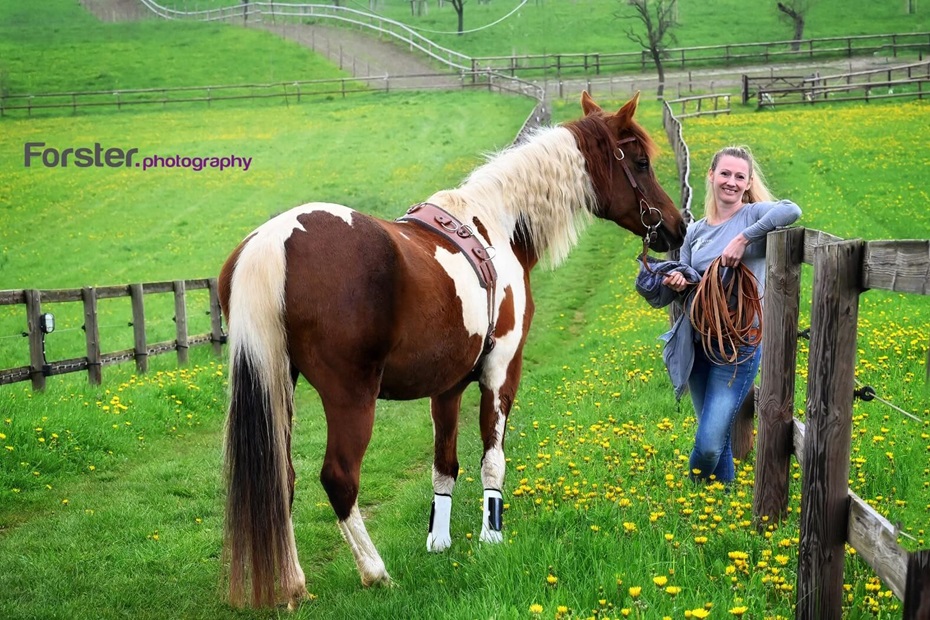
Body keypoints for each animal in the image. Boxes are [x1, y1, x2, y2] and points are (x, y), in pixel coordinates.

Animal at [216, 94, 680, 608]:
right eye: (639, 162)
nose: (677, 226)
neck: (497, 227)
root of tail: (274, 241)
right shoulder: (501, 372)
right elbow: (492, 458)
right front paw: (491, 535)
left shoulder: (447, 386)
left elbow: (444, 466)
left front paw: (438, 541)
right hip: (350, 396)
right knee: (338, 478)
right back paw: (375, 572)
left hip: (281, 384)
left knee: (283, 479)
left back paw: (294, 584)